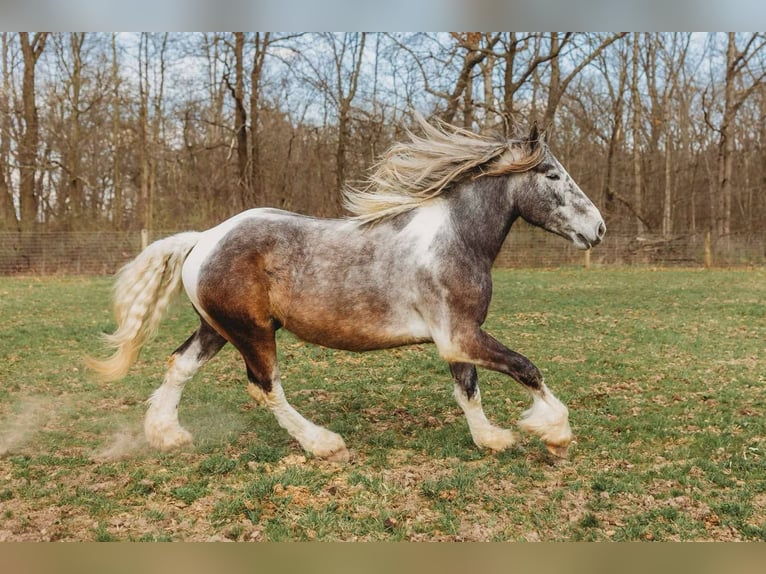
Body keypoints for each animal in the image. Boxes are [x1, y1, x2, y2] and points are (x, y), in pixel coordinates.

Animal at [88, 116, 605, 462]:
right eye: (553, 175)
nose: (598, 229)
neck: (456, 238)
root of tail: (203, 239)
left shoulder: (456, 337)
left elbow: (468, 390)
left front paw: (492, 438)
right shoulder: (460, 335)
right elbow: (525, 368)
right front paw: (555, 432)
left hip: (217, 328)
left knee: (179, 365)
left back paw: (167, 435)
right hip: (253, 333)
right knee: (265, 386)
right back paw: (325, 444)